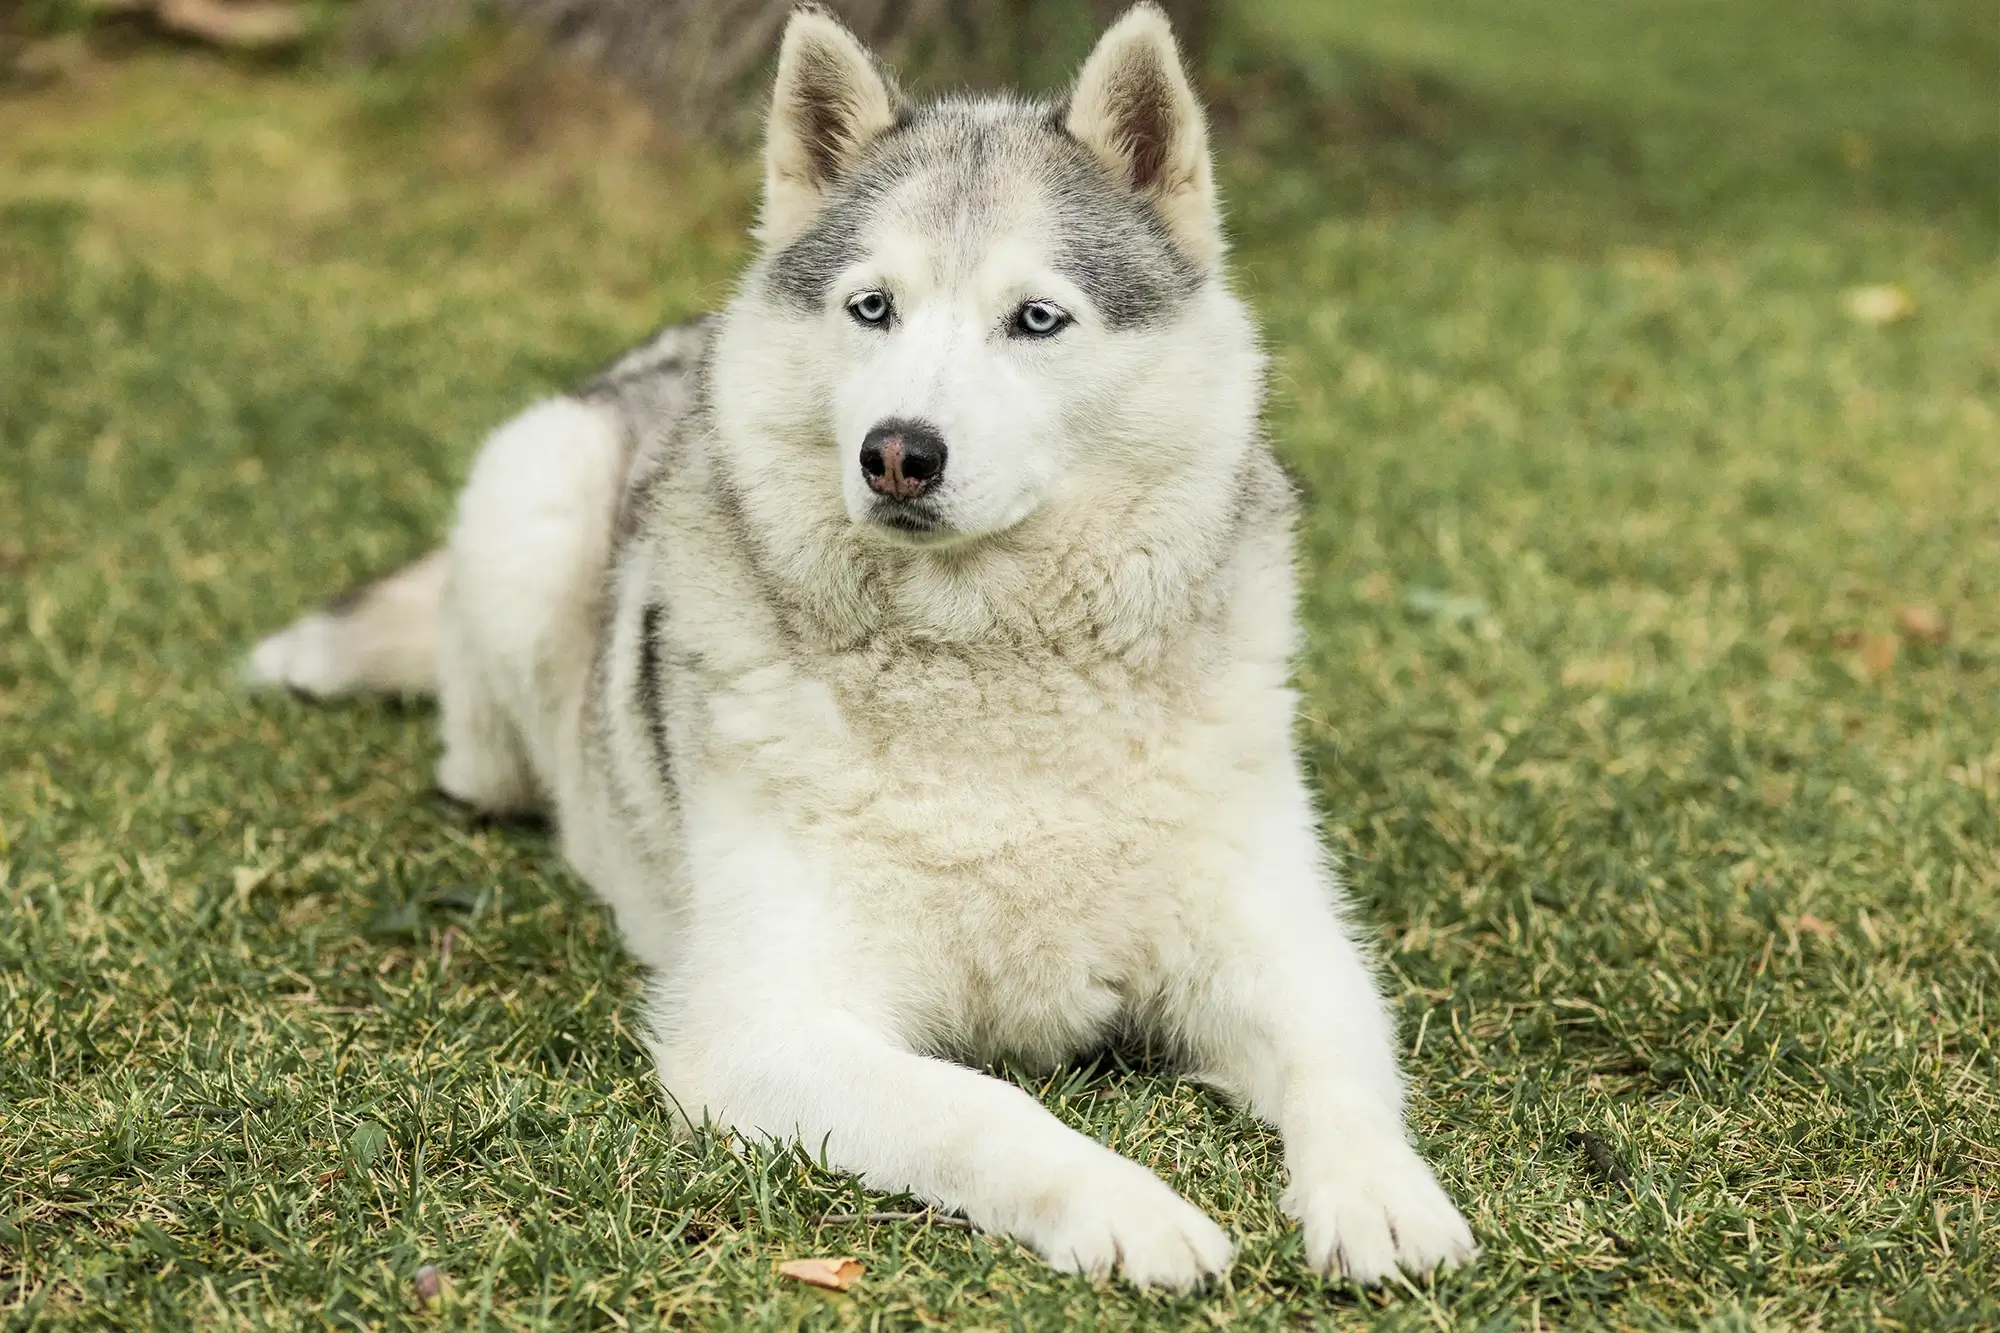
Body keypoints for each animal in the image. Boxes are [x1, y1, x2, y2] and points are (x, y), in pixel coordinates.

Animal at [246, 2, 1472, 1288]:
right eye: (871, 307)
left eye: (1036, 318)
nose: (897, 452)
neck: (988, 673)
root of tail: (676, 343)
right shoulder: (766, 1026)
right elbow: (986, 1109)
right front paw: (1127, 1206)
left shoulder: (1289, 948)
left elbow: (1339, 1071)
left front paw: (1380, 1197)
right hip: (533, 502)